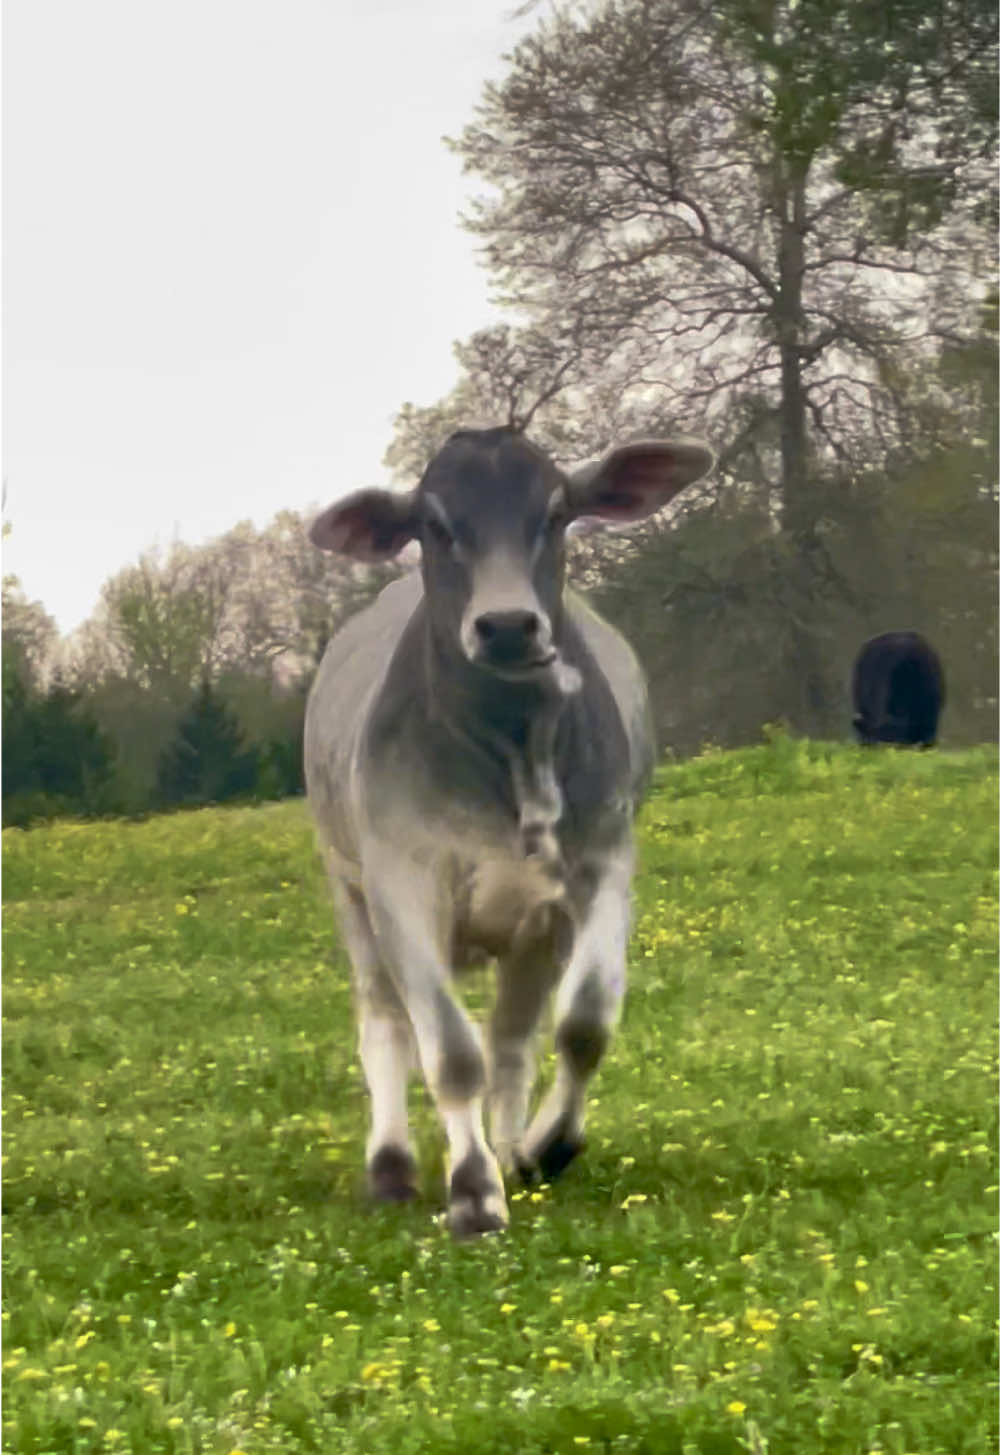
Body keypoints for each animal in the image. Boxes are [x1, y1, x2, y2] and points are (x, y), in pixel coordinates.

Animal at [302, 424, 712, 1233]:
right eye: (434, 524)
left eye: (555, 512)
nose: (507, 626)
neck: (514, 747)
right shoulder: (403, 882)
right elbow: (449, 1051)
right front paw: (472, 1191)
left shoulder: (601, 868)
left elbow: (582, 1022)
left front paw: (546, 1145)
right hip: (347, 890)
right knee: (384, 1024)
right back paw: (392, 1166)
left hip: (531, 934)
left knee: (513, 1039)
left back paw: (512, 1144)